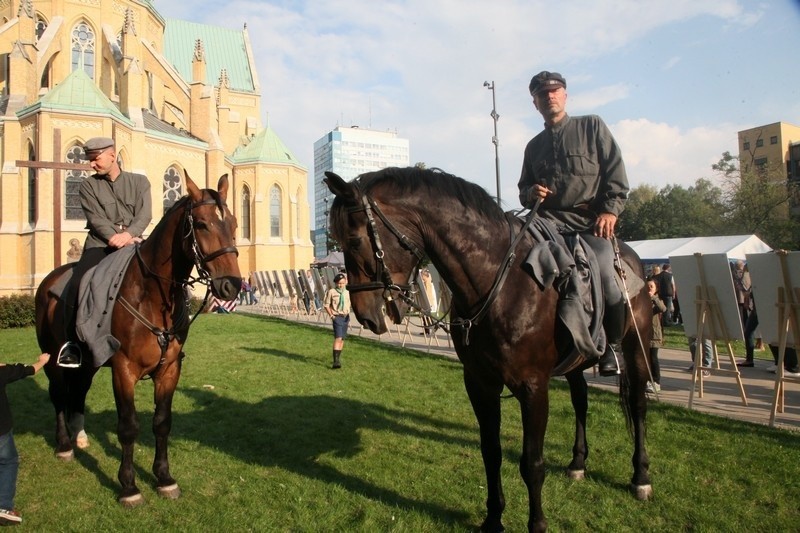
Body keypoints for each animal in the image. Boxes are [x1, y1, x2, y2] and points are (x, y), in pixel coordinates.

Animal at [35, 172, 241, 504]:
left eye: (234, 224)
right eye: (201, 224)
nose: (231, 285)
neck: (151, 294)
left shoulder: (169, 369)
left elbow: (162, 422)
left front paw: (164, 477)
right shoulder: (123, 370)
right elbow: (128, 427)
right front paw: (129, 485)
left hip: (89, 363)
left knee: (77, 392)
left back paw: (79, 436)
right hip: (53, 358)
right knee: (58, 395)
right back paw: (65, 444)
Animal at [326, 167, 656, 532]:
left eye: (355, 241)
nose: (365, 316)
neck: (497, 282)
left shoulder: (533, 387)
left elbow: (532, 463)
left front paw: (537, 524)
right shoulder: (480, 383)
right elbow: (491, 452)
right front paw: (494, 519)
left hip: (636, 348)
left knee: (638, 405)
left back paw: (641, 477)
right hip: (575, 363)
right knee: (580, 401)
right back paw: (578, 462)